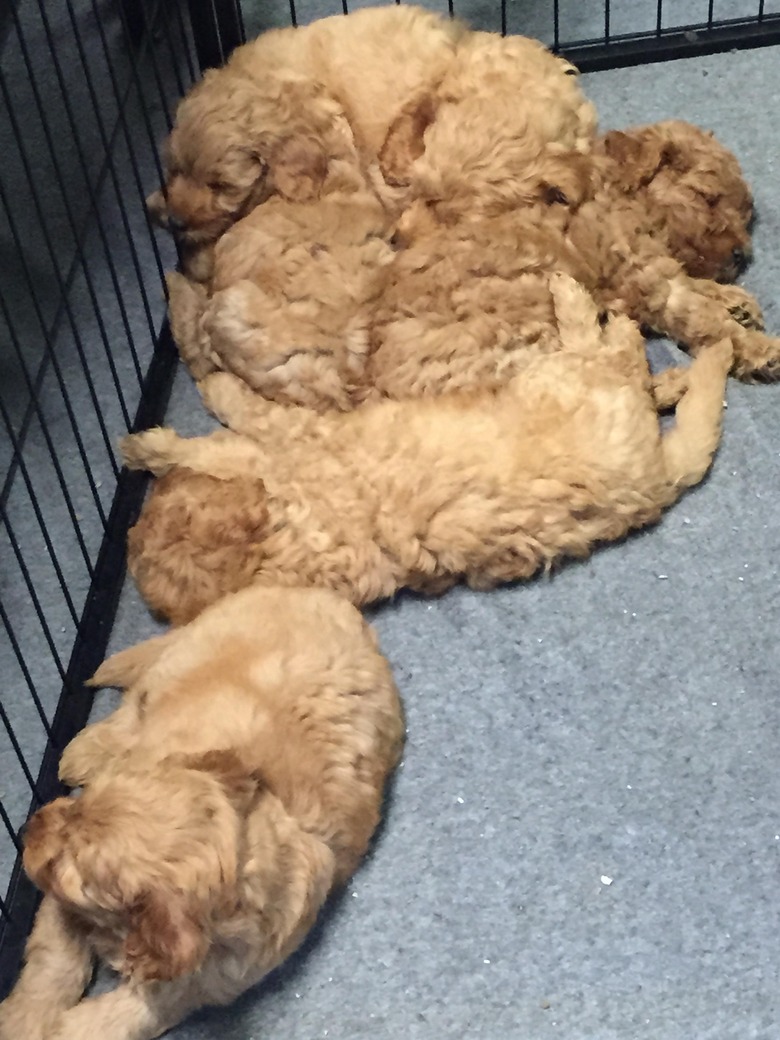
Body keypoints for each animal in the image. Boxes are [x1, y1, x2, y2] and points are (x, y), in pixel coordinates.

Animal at [0, 586, 403, 1040]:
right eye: (77, 805)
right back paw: (84, 750)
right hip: (183, 656)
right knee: (134, 703)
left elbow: (125, 1015)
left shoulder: (204, 978)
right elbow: (54, 958)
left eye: (68, 866)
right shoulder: (60, 906)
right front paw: (23, 1019)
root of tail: (324, 596)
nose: (28, 827)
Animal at [120, 272, 732, 624]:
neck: (273, 544)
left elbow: (235, 413)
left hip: (560, 379)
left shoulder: (294, 433)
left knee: (618, 352)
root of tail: (656, 479)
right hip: (570, 384)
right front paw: (155, 444)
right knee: (618, 355)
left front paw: (160, 434)